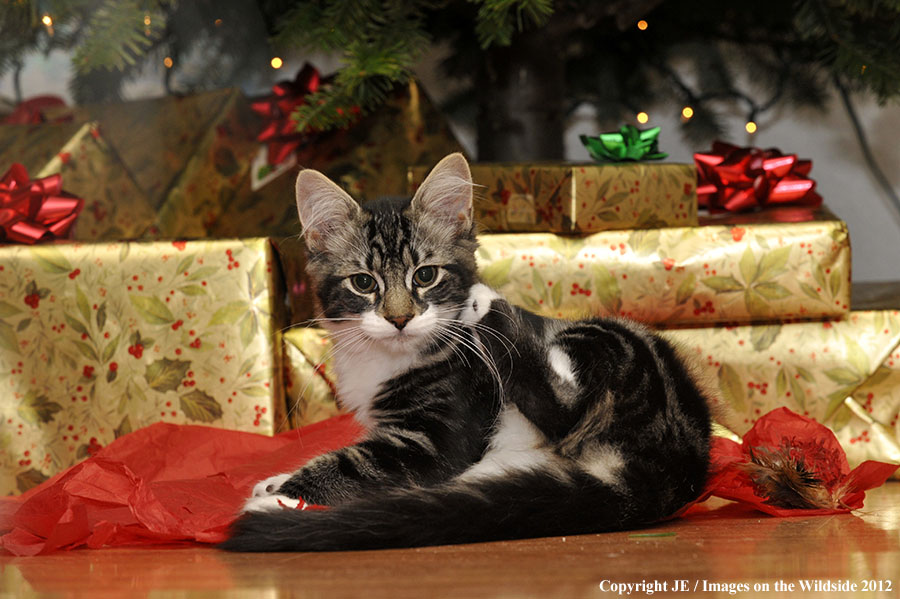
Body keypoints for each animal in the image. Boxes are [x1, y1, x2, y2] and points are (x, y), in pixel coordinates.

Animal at [221, 155, 712, 552]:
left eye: (425, 275)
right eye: (363, 283)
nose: (399, 318)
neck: (390, 355)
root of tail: (675, 465)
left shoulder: (432, 440)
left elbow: (351, 462)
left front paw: (282, 496)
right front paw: (274, 483)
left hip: (610, 342)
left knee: (563, 405)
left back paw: (487, 305)